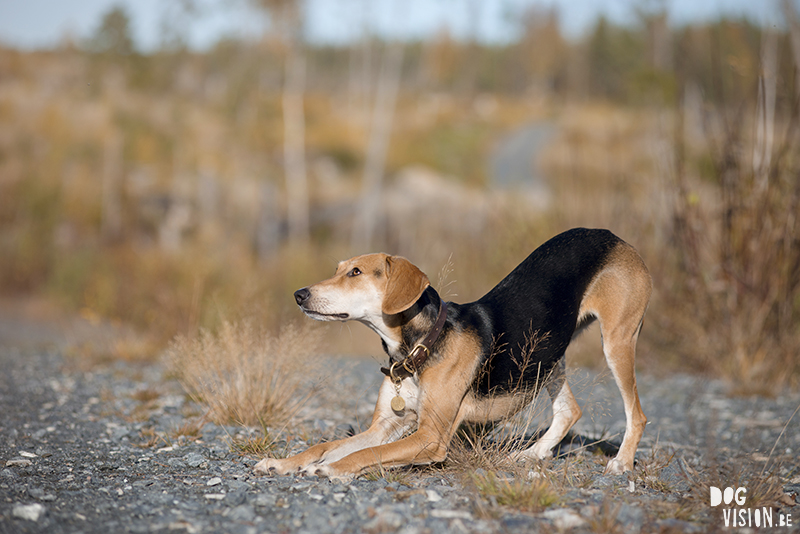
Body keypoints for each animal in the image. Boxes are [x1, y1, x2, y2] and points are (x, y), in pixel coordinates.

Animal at [256, 228, 648, 480]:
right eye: (338, 269)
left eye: (355, 272)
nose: (300, 294)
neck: (418, 344)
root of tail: (616, 238)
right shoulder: (385, 425)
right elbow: (327, 445)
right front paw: (283, 462)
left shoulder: (429, 436)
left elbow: (367, 453)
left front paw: (332, 468)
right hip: (547, 356)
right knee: (570, 410)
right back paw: (531, 454)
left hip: (616, 341)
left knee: (637, 414)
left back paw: (621, 464)